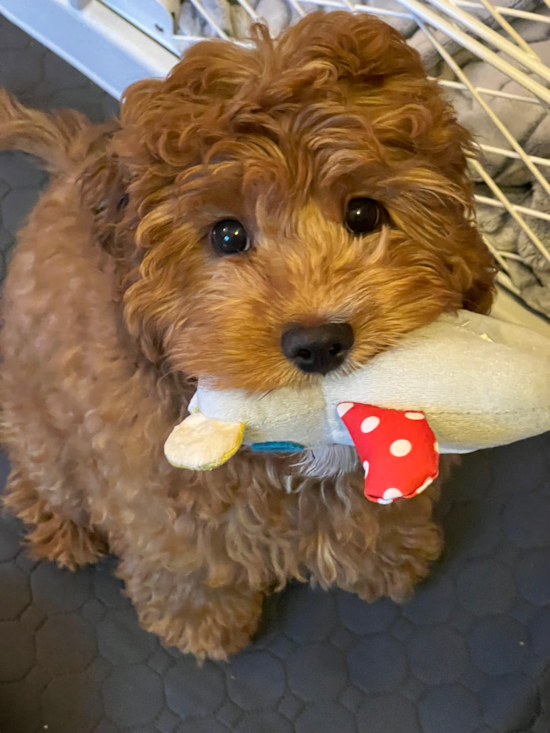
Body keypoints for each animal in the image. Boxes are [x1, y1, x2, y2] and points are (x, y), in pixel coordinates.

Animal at [0, 11, 496, 656]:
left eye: (364, 213)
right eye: (228, 235)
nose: (318, 343)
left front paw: (392, 558)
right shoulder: (155, 491)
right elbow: (186, 559)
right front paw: (203, 624)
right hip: (36, 421)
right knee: (45, 473)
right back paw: (61, 526)